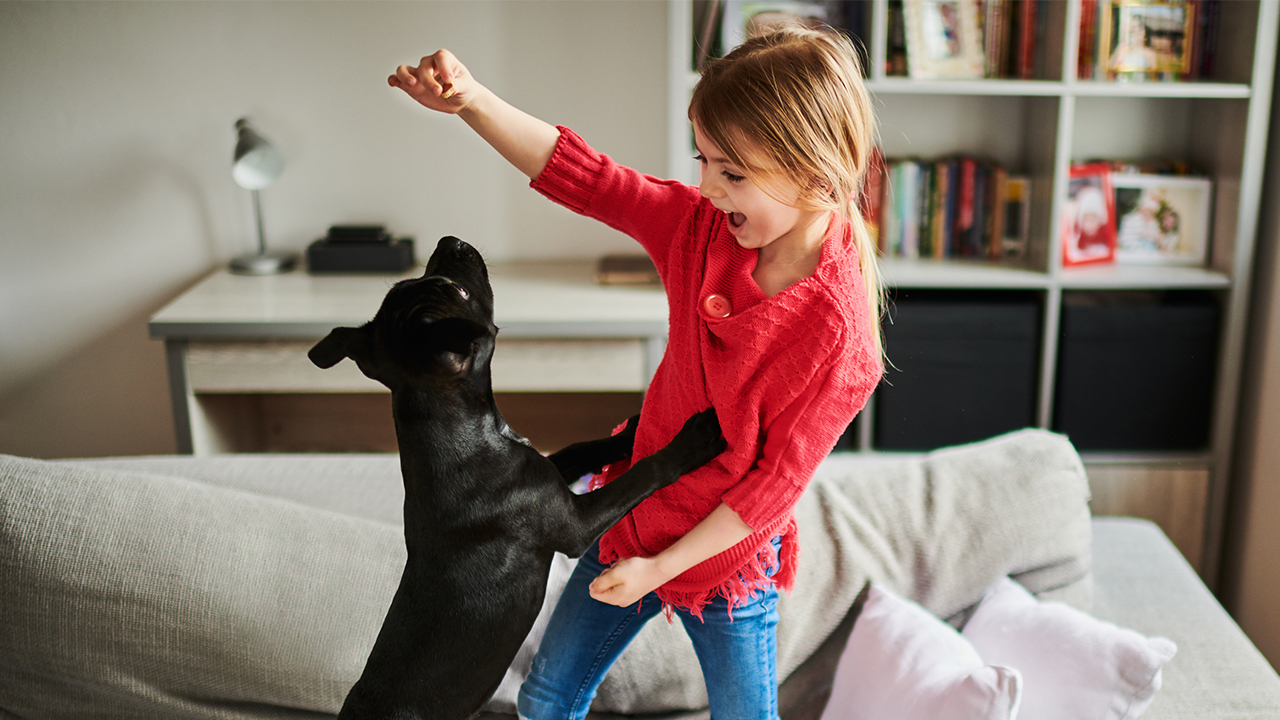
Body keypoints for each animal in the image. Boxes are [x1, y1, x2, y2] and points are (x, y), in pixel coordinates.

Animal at [308, 237, 727, 717]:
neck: (463, 432)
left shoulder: (549, 471)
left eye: (421, 281)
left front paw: (630, 431)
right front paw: (691, 442)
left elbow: (583, 448)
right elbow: (643, 474)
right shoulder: (574, 523)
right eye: (457, 291)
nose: (451, 241)